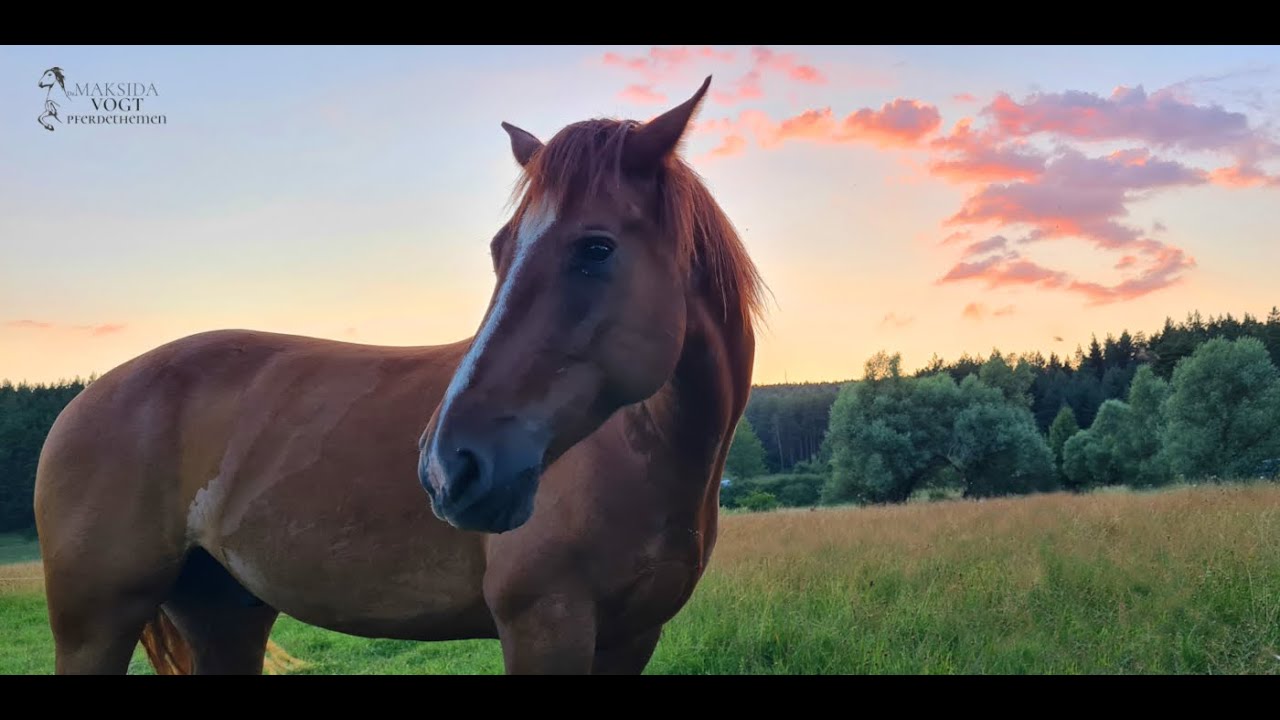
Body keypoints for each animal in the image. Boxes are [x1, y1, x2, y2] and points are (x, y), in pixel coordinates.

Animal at [33, 75, 766, 675]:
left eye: (595, 249)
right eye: (500, 250)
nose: (447, 469)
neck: (642, 456)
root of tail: (83, 402)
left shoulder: (631, 639)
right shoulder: (544, 625)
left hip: (222, 615)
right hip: (94, 625)